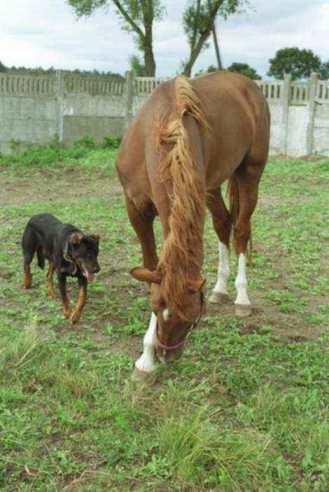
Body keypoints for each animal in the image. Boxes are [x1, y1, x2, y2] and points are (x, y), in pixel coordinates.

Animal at [116, 71, 270, 374]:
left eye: (191, 317)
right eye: (156, 308)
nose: (167, 356)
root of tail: (246, 84)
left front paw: (147, 357)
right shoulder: (135, 209)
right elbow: (152, 268)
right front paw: (146, 359)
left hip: (249, 173)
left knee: (241, 230)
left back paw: (241, 297)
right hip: (211, 186)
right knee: (223, 223)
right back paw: (220, 289)